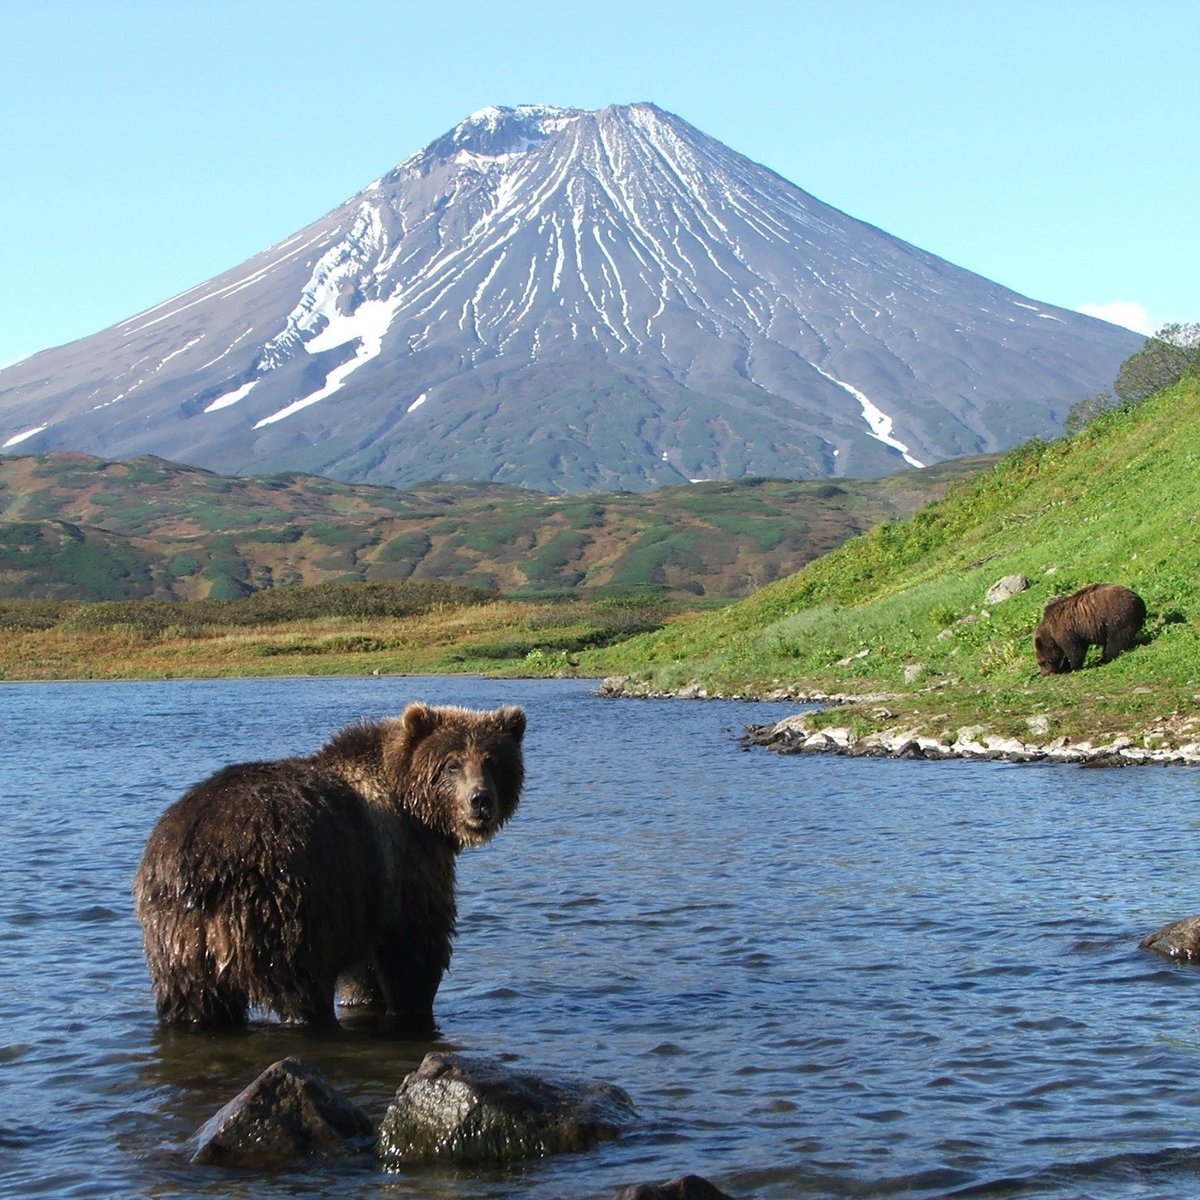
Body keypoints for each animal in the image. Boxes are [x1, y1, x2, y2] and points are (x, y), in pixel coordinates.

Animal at [132, 700, 525, 1032]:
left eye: (492, 761)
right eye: (451, 764)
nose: (480, 800)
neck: (416, 810)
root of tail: (197, 864)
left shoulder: (367, 894)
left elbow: (364, 970)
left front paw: (364, 999)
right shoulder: (402, 864)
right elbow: (414, 947)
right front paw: (412, 1005)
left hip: (176, 935)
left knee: (192, 1000)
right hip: (279, 904)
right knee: (298, 985)